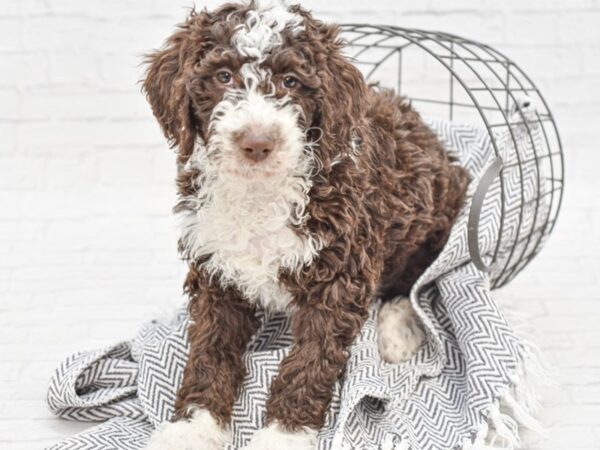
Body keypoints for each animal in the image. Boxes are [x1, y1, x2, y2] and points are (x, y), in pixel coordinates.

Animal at [144, 1, 468, 448]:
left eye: (291, 81)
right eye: (223, 76)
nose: (257, 143)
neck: (260, 192)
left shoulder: (340, 275)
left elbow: (310, 361)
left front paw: (283, 435)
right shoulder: (216, 270)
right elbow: (209, 350)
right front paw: (194, 426)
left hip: (431, 212)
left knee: (416, 279)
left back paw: (397, 331)